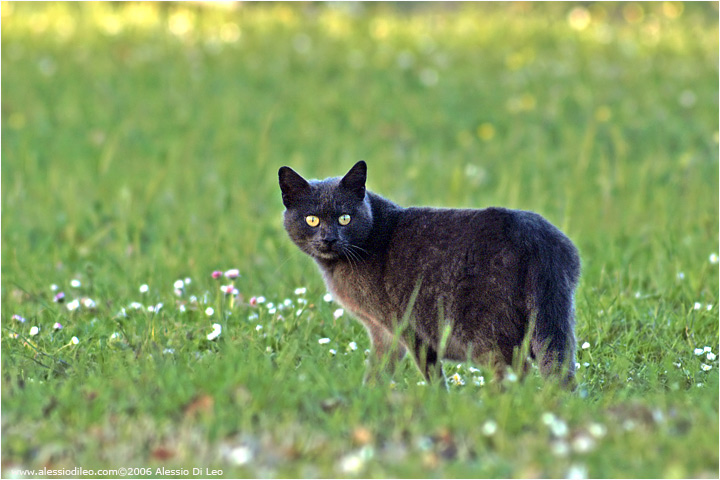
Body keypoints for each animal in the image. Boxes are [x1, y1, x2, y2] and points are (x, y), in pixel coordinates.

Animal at [278, 163, 584, 388]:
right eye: (312, 219)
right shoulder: (382, 331)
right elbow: (379, 367)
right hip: (555, 316)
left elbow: (429, 372)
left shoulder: (406, 325)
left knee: (514, 371)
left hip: (487, 329)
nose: (328, 239)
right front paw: (369, 396)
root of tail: (535, 236)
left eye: (345, 218)